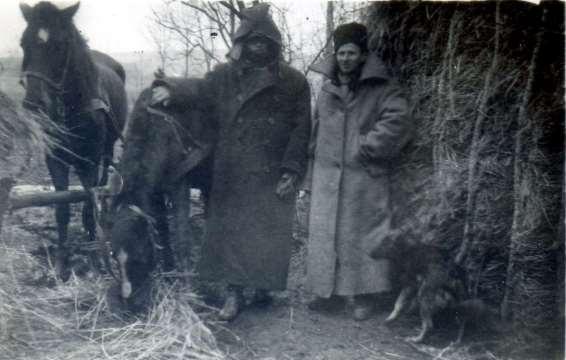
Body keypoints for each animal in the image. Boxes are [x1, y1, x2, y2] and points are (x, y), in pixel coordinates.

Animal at [19, 1, 129, 280]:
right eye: (24, 43)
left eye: (60, 45)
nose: (33, 103)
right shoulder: (55, 159)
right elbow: (62, 208)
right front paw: (61, 261)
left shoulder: (89, 160)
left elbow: (89, 203)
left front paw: (94, 257)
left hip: (106, 152)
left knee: (101, 186)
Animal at [108, 85, 215, 312]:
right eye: (114, 257)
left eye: (139, 255)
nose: (128, 301)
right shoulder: (154, 193)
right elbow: (163, 233)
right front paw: (168, 271)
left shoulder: (179, 184)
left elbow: (182, 236)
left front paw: (185, 283)